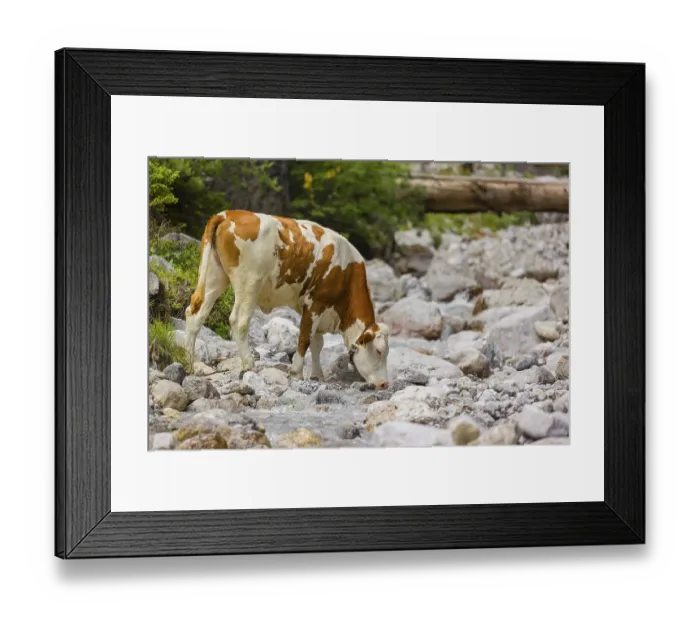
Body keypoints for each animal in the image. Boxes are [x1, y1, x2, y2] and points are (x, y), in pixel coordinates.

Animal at [184, 210, 390, 389]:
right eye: (379, 351)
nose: (384, 384)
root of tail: (227, 214)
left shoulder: (318, 310)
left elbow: (317, 343)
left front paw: (317, 375)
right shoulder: (315, 303)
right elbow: (305, 339)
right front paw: (296, 372)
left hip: (215, 276)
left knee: (195, 314)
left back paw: (188, 363)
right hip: (248, 283)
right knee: (239, 321)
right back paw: (248, 363)